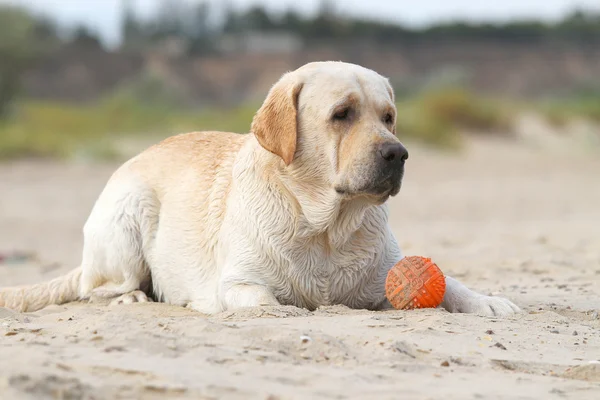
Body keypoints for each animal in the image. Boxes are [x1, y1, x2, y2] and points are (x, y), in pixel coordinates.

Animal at [0, 60, 520, 316]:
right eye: (342, 114)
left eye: (388, 117)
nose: (397, 153)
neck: (323, 229)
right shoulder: (239, 282)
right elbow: (264, 300)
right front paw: (284, 312)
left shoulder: (385, 273)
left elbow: (452, 284)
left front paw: (488, 301)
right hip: (128, 213)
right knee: (99, 287)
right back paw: (132, 298)